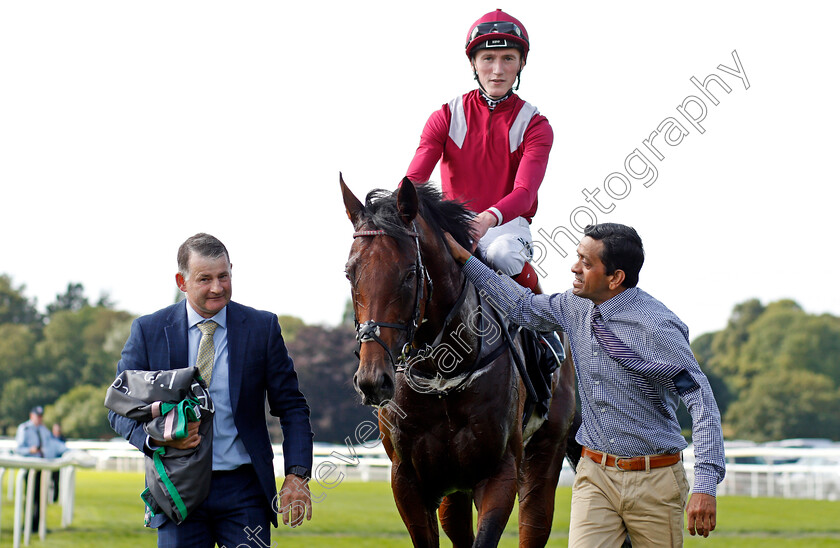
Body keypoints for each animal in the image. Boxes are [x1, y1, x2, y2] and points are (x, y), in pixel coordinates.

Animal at [340, 177, 576, 548]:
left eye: (410, 273)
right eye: (350, 273)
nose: (373, 381)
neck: (442, 374)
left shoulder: (500, 472)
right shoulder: (408, 479)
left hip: (546, 448)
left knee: (535, 521)